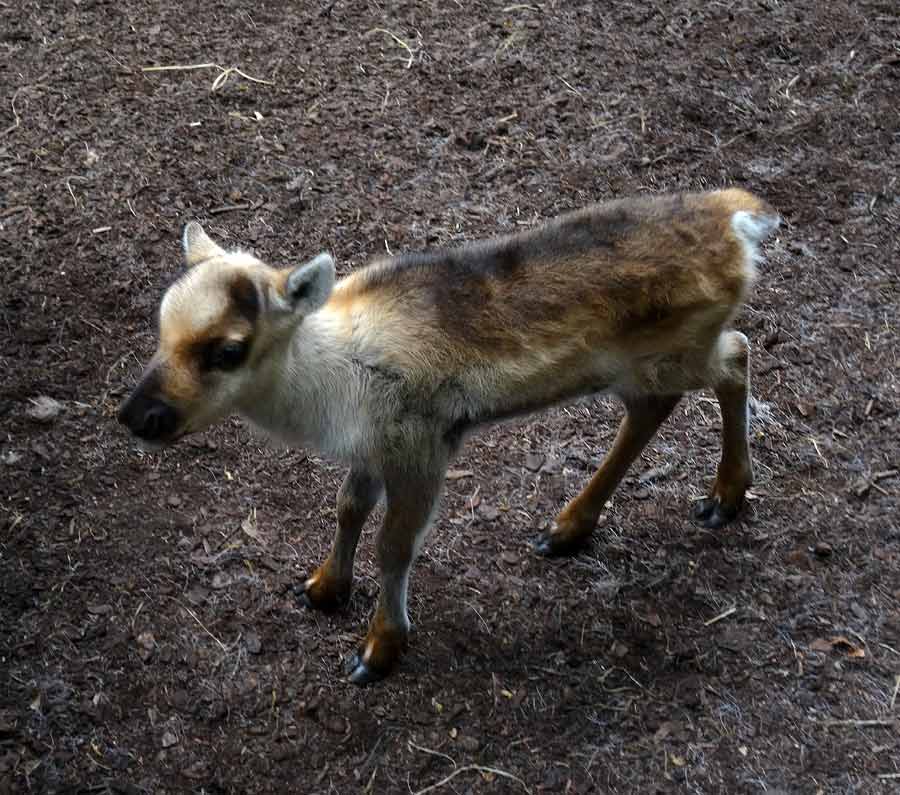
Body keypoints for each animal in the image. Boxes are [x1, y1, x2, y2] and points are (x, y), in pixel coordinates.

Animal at [119, 191, 780, 684]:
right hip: (642, 367)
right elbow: (347, 507)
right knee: (661, 402)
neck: (334, 386)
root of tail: (741, 219)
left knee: (737, 354)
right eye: (160, 322)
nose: (136, 415)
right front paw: (323, 587)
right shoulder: (373, 447)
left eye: (228, 349)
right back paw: (567, 528)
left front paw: (379, 648)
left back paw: (723, 498)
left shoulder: (422, 445)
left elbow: (394, 546)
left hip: (678, 349)